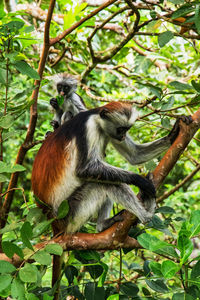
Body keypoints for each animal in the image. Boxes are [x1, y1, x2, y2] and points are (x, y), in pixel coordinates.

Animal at [31, 101, 159, 234]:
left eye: (127, 129)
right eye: (121, 129)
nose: (123, 136)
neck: (96, 119)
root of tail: (52, 220)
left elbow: (135, 155)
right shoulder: (88, 128)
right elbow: (84, 170)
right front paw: (141, 181)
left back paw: (103, 224)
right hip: (70, 214)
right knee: (106, 184)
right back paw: (146, 216)